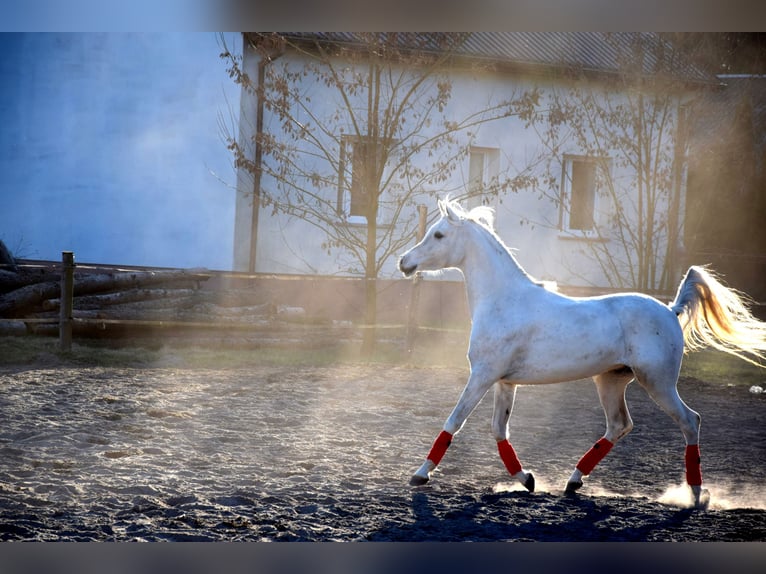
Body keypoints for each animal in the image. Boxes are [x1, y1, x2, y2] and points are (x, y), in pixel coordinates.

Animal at [398, 197, 766, 508]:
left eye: (439, 234)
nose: (404, 262)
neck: (503, 300)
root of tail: (670, 310)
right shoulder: (505, 381)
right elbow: (499, 430)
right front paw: (527, 480)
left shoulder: (483, 375)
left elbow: (454, 421)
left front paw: (419, 475)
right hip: (611, 380)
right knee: (619, 424)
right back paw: (573, 481)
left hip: (658, 382)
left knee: (690, 421)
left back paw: (695, 496)